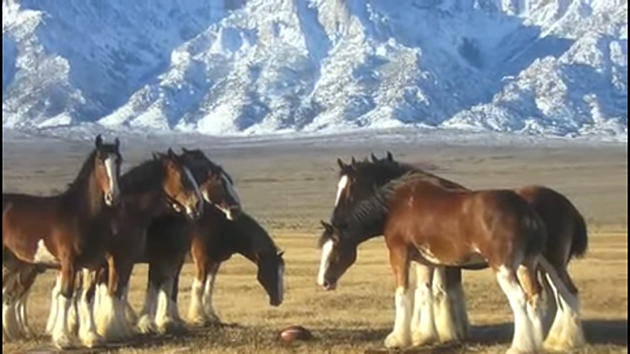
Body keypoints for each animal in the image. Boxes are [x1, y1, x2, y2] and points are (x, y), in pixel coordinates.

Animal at [1, 135, 122, 348]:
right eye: (100, 161)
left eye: (119, 161)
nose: (112, 197)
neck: (81, 215)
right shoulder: (69, 264)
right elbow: (66, 296)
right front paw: (62, 338)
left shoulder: (93, 265)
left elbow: (87, 297)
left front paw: (91, 336)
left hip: (12, 264)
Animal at [318, 156, 576, 354]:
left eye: (336, 250)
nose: (323, 282)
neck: (398, 203)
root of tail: (526, 211)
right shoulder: (426, 261)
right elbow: (426, 294)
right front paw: (425, 335)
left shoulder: (400, 255)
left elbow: (404, 294)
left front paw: (398, 338)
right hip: (533, 265)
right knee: (547, 296)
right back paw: (553, 342)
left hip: (507, 268)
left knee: (524, 299)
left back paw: (522, 346)